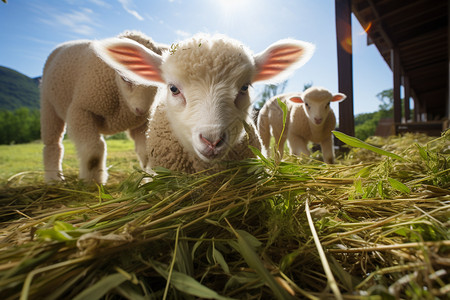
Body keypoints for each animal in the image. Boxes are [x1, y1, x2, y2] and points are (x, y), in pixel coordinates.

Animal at [40, 31, 167, 184]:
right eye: (125, 78)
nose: (142, 111)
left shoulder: (140, 124)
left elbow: (145, 153)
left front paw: (147, 179)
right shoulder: (81, 111)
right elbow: (93, 153)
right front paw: (92, 182)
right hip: (48, 106)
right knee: (52, 144)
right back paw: (54, 178)